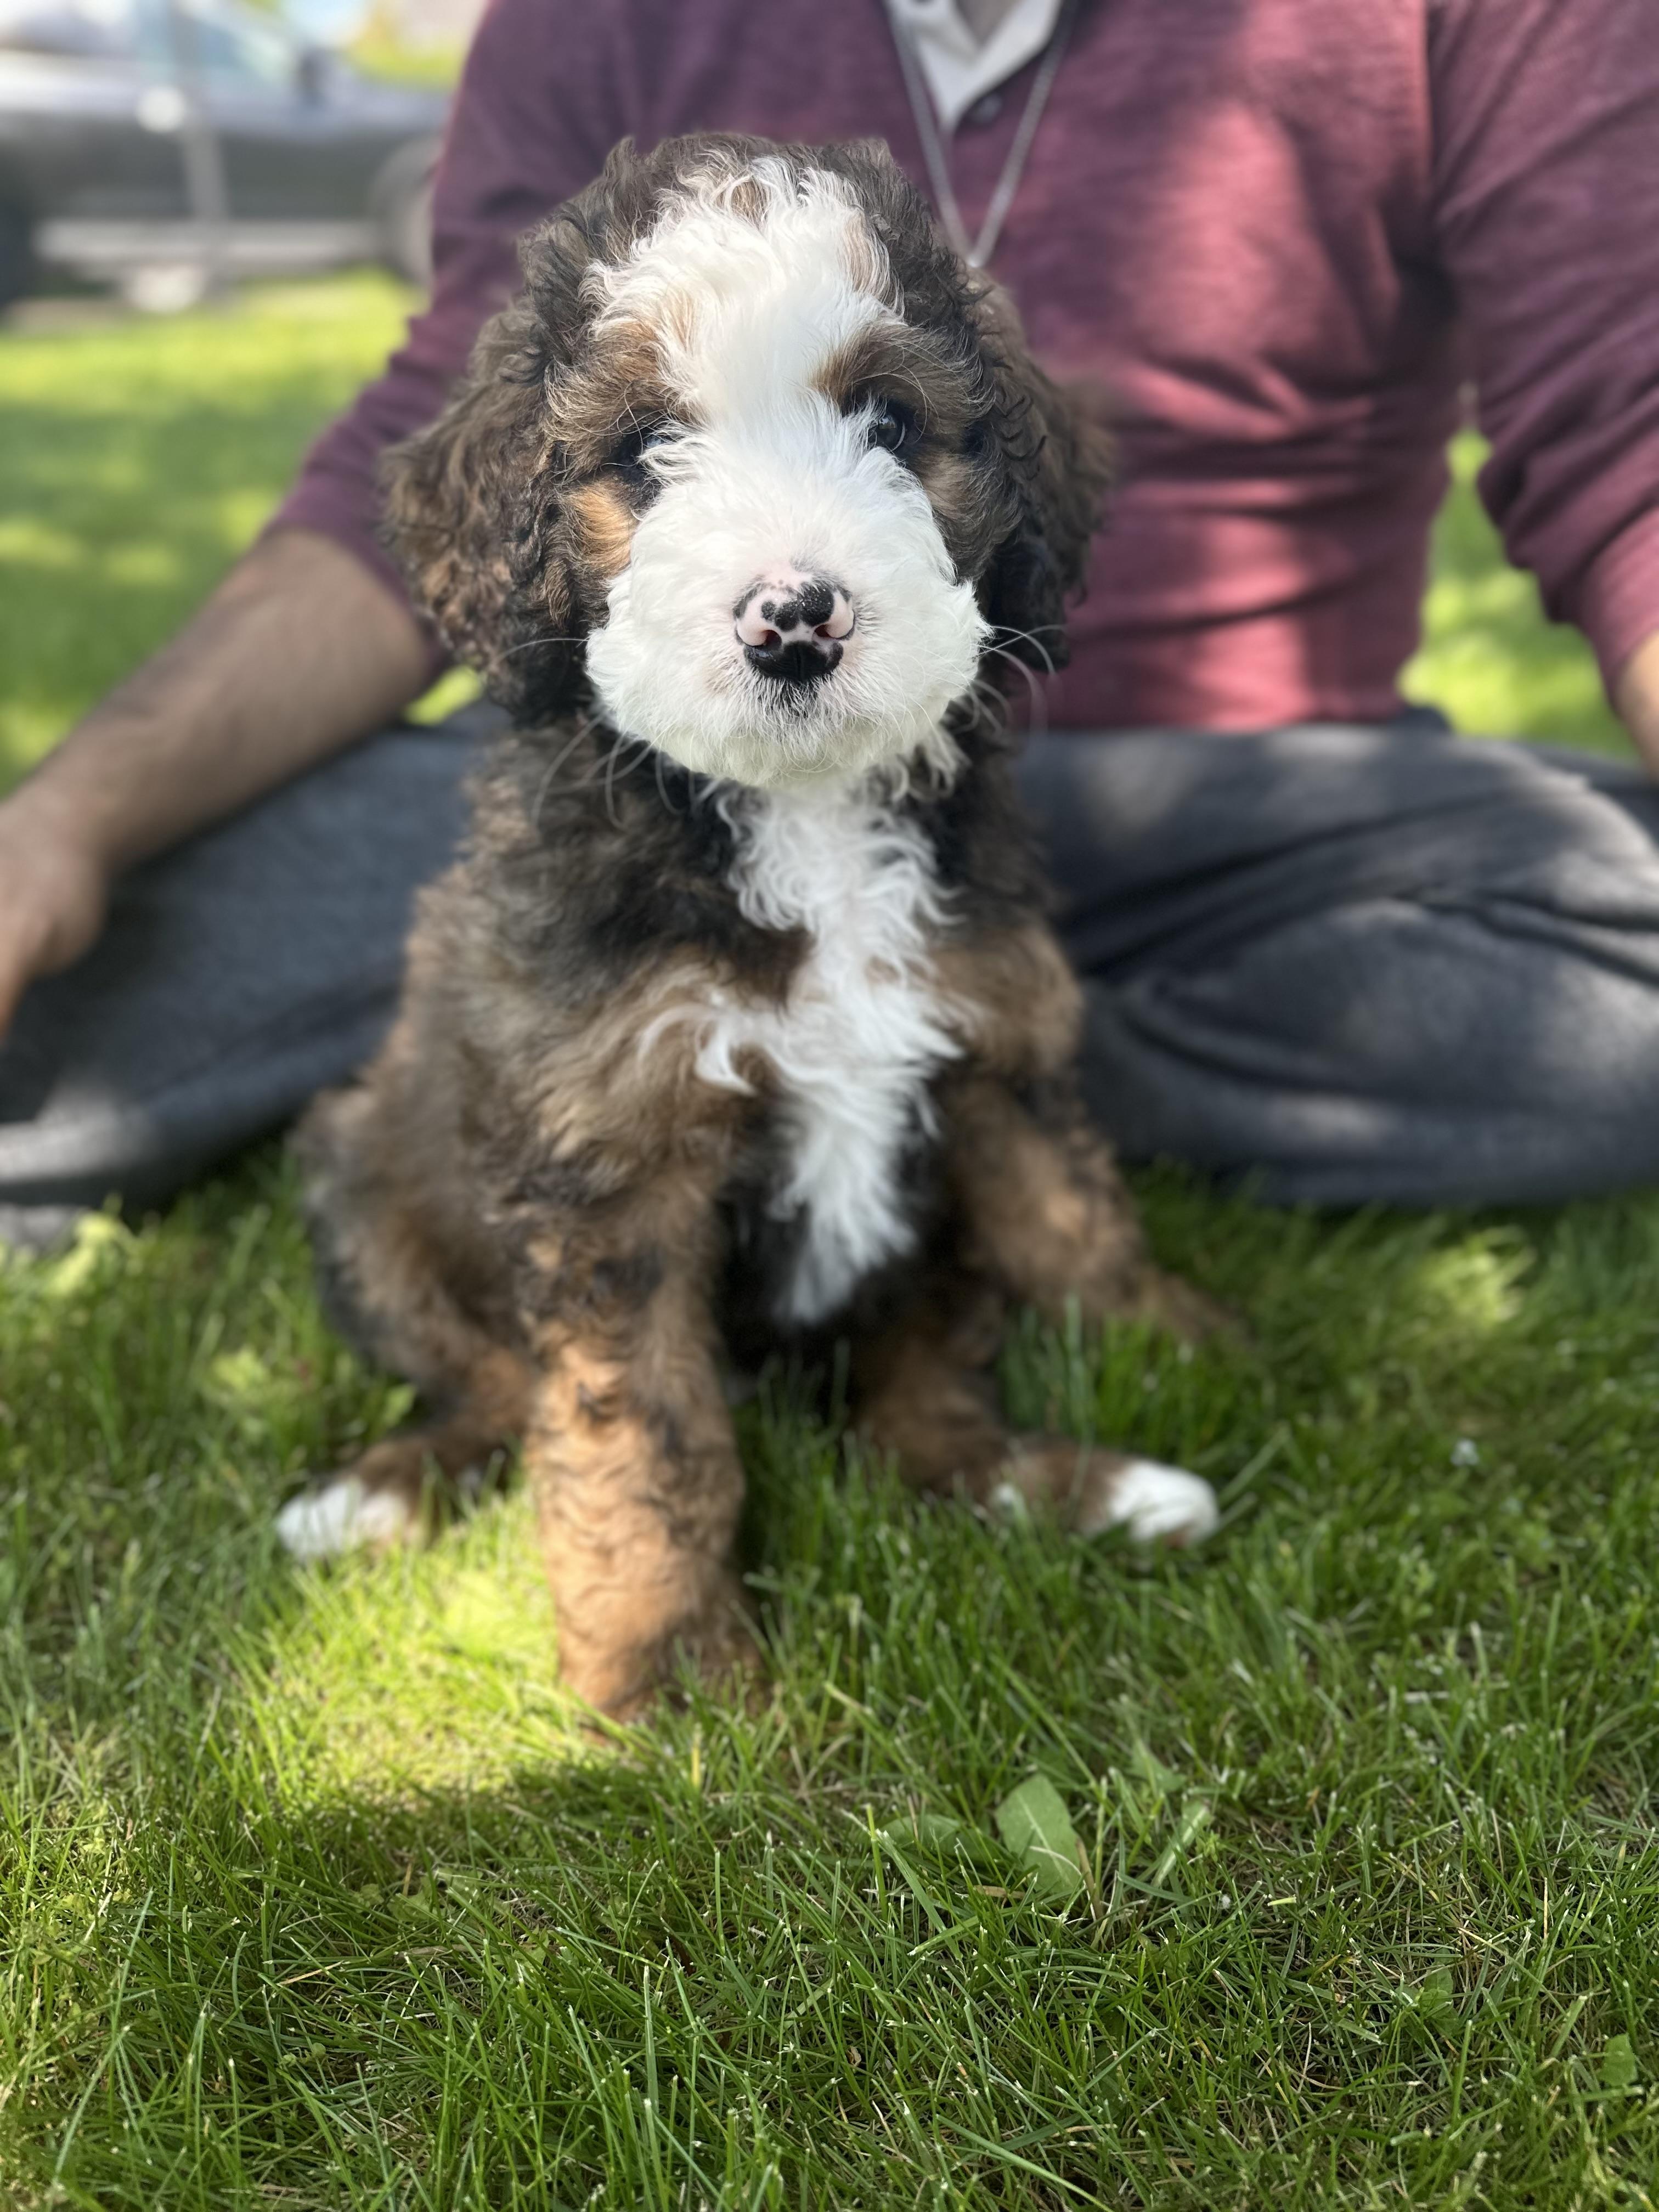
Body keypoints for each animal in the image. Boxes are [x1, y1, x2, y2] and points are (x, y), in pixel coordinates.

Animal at [276, 133, 1220, 1717]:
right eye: (647, 449)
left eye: (891, 420)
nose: (794, 620)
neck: (802, 820)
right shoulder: (610, 1171)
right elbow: (635, 1431)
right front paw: (667, 1664)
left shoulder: (993, 1041)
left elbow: (1075, 1224)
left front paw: (1189, 1351)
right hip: (365, 1180)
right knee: (489, 1384)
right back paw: (377, 1492)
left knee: (922, 1421)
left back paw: (1096, 1489)